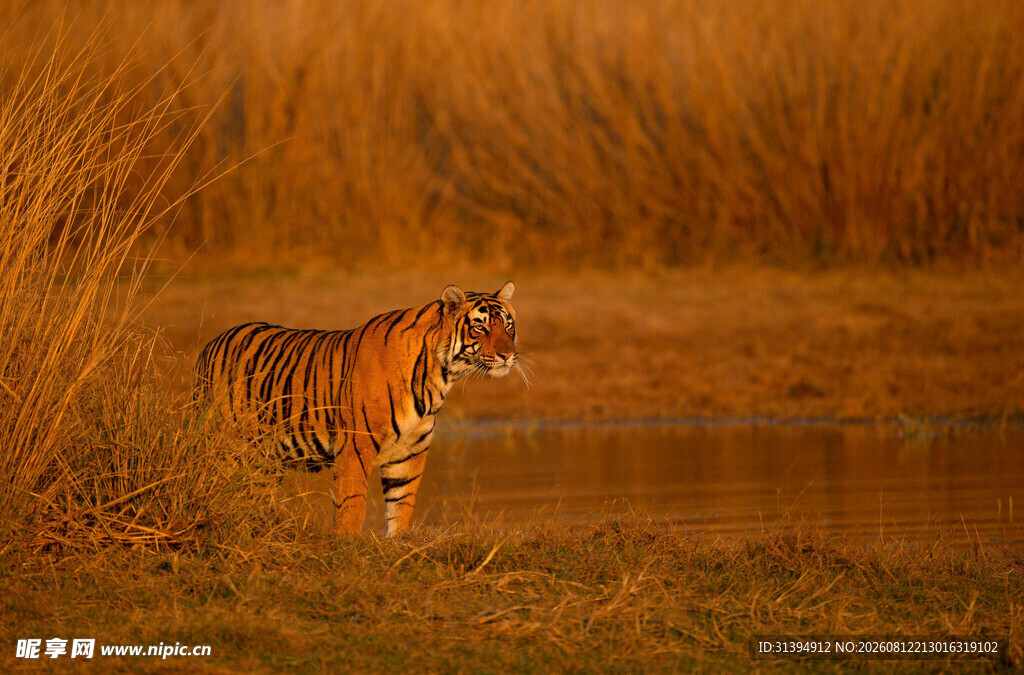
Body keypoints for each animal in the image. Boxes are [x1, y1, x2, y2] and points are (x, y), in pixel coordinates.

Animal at [194, 282, 518, 536]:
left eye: (508, 326)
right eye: (480, 327)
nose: (508, 355)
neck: (439, 374)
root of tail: (210, 344)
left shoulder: (410, 449)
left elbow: (403, 503)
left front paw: (398, 545)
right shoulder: (355, 444)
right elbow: (353, 501)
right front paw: (345, 544)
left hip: (263, 461)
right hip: (226, 447)